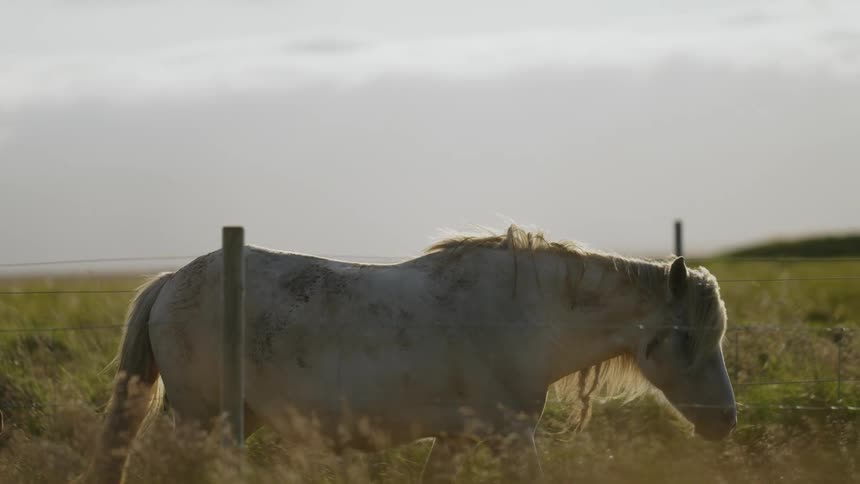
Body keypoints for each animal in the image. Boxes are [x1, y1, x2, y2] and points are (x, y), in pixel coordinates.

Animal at [85, 225, 736, 483]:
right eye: (688, 337)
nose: (726, 421)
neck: (521, 313)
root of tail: (171, 282)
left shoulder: (455, 438)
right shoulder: (511, 437)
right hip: (204, 421)